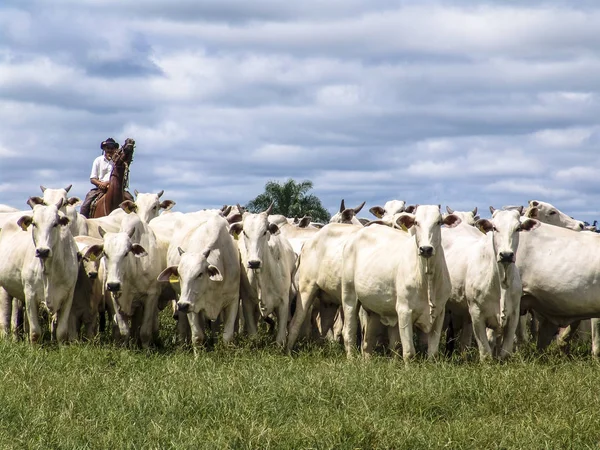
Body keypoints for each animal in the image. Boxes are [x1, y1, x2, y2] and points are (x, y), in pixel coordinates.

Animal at [0, 199, 78, 342]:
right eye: (34, 224)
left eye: (55, 224)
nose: (42, 251)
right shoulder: (30, 294)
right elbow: (35, 333)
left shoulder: (68, 296)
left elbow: (61, 332)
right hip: (4, 288)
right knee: (5, 319)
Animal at [158, 213, 240, 346]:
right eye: (179, 274)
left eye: (200, 274)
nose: (183, 305)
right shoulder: (192, 305)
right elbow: (198, 337)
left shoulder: (233, 300)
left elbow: (227, 337)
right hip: (180, 297)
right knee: (182, 324)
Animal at [230, 202, 296, 346]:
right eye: (244, 232)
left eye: (265, 232)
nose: (254, 262)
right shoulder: (247, 303)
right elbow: (253, 335)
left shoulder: (283, 303)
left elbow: (280, 339)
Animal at [340, 206, 462, 360]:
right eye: (416, 222)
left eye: (439, 222)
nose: (426, 249)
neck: (426, 278)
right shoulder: (404, 311)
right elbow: (409, 352)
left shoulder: (439, 313)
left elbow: (432, 352)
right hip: (349, 296)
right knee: (348, 332)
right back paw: (351, 359)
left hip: (373, 308)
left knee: (367, 341)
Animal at [464, 209, 540, 360]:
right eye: (494, 228)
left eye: (518, 228)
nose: (506, 255)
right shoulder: (476, 314)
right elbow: (486, 353)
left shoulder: (514, 314)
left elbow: (505, 351)